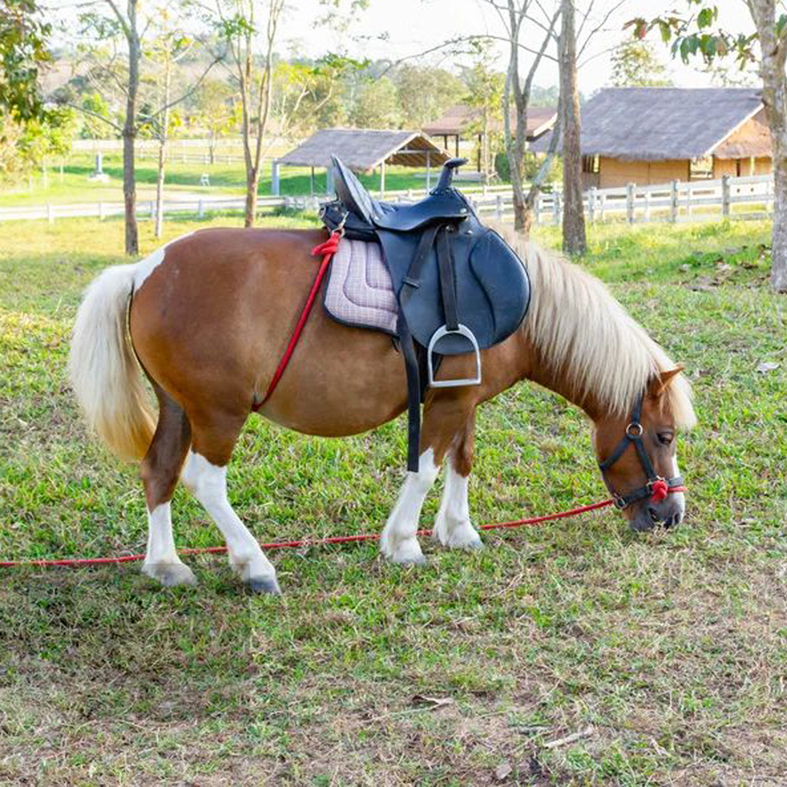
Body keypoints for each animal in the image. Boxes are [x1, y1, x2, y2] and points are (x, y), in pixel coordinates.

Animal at [67, 225, 696, 596]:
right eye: (663, 436)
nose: (670, 516)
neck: (517, 301)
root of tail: (142, 270)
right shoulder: (447, 403)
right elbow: (426, 470)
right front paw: (404, 544)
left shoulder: (462, 398)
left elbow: (461, 463)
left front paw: (459, 531)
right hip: (218, 413)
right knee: (203, 480)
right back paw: (255, 564)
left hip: (179, 407)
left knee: (159, 471)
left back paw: (165, 564)